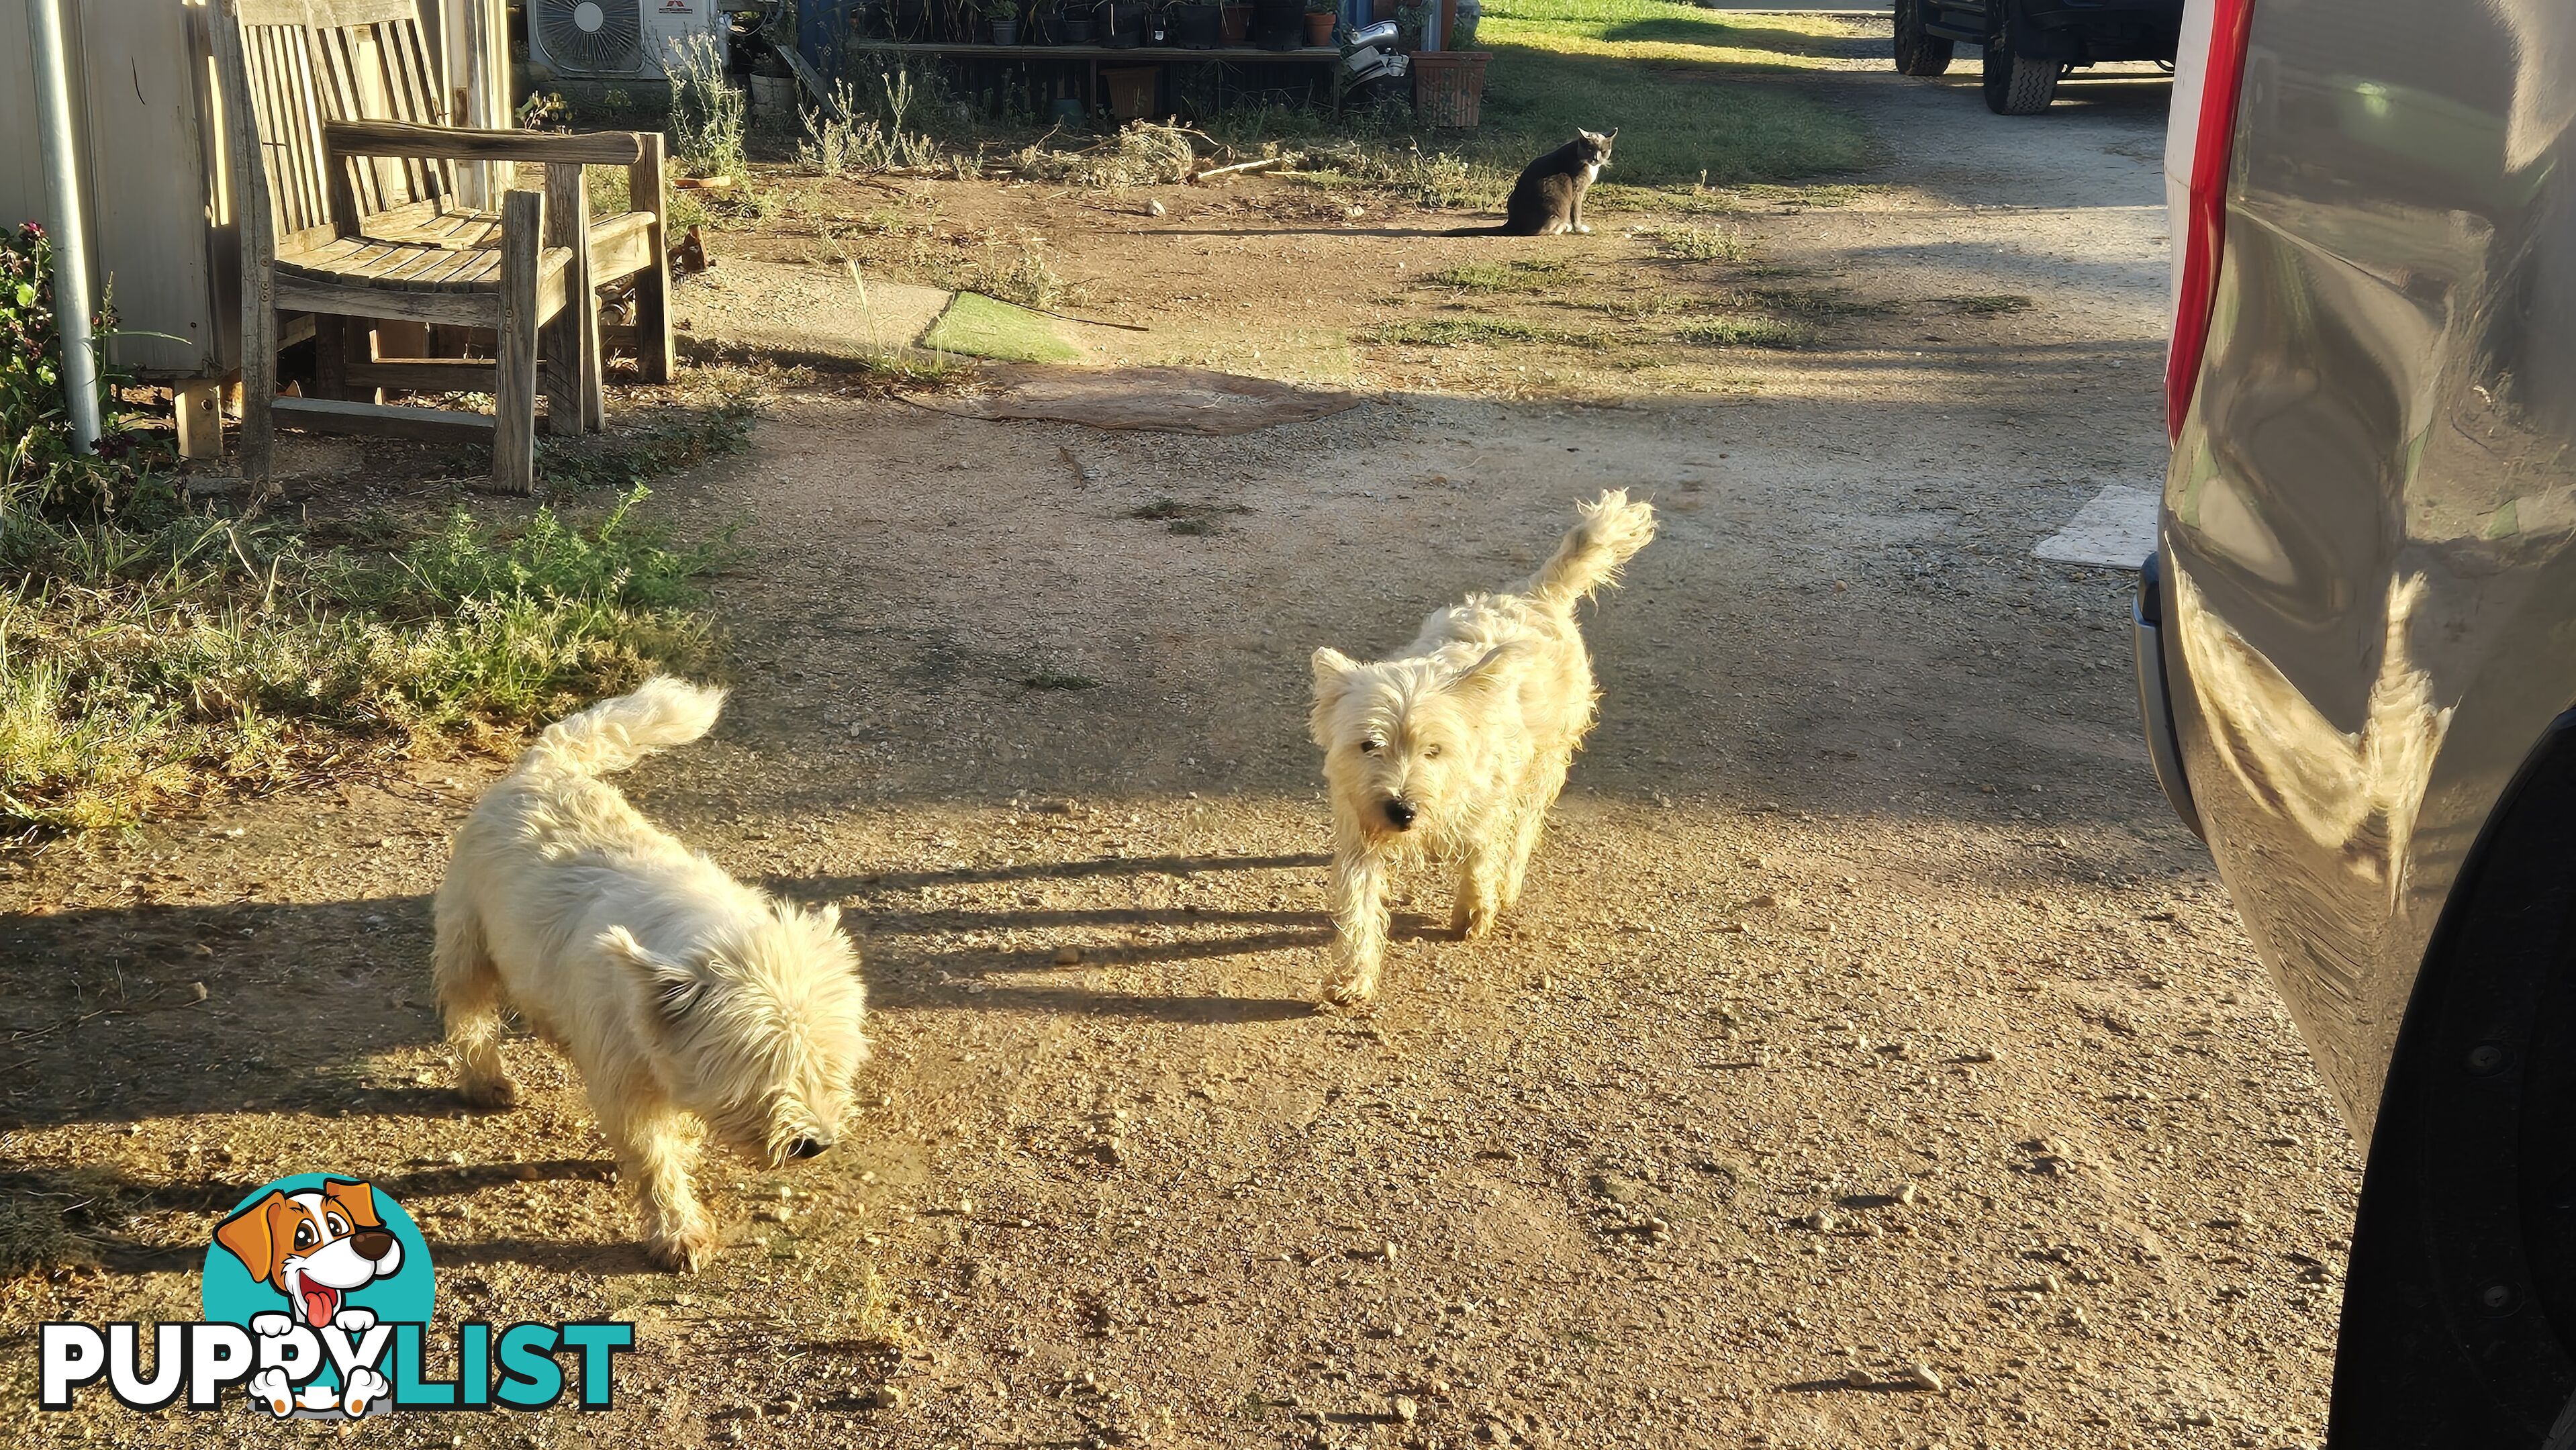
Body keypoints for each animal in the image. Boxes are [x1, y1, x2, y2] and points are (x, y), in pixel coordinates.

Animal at [425, 679, 865, 1272]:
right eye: (763, 1067)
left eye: (832, 1061)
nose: (815, 1144)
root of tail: (544, 766)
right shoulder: (624, 1081)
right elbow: (653, 1155)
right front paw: (678, 1230)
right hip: (467, 937)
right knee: (469, 1010)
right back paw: (484, 1079)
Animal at [1308, 487, 1648, 1009]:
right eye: (1368, 745)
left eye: (1434, 750)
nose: (1402, 812)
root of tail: (1537, 593)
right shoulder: (1359, 825)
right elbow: (1358, 903)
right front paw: (1353, 976)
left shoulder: (1489, 800)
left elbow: (1482, 853)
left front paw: (1473, 911)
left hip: (1546, 761)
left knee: (1525, 826)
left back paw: (1507, 885)